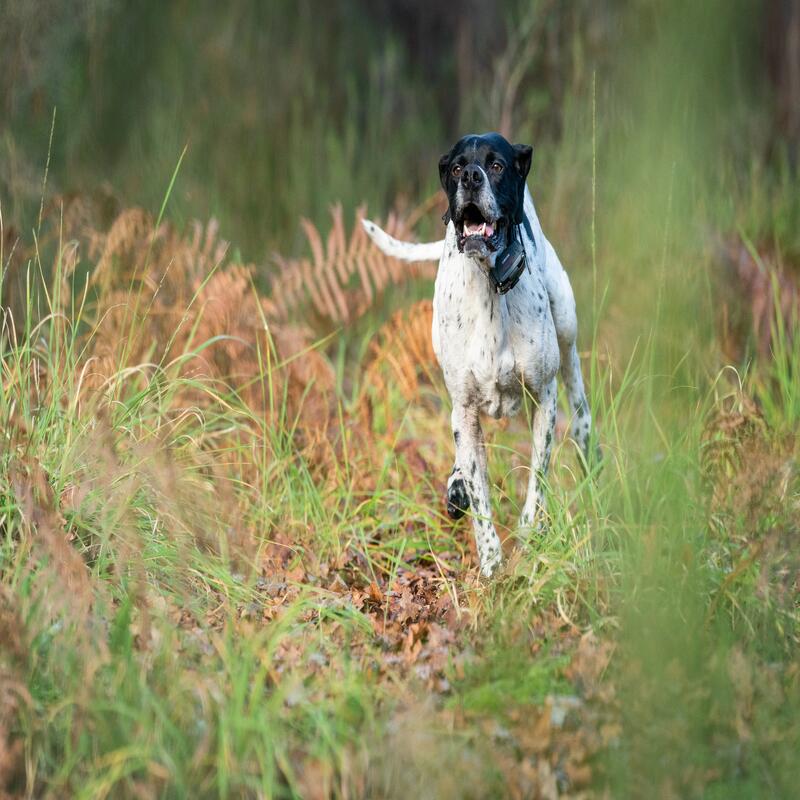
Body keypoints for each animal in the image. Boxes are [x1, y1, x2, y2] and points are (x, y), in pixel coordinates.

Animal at [362, 134, 592, 580]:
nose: (470, 176)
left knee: (578, 394)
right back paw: (456, 487)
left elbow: (537, 481)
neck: (489, 286)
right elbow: (479, 493)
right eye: (455, 167)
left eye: (497, 165)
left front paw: (528, 536)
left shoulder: (544, 399)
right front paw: (490, 562)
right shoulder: (466, 410)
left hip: (567, 328)